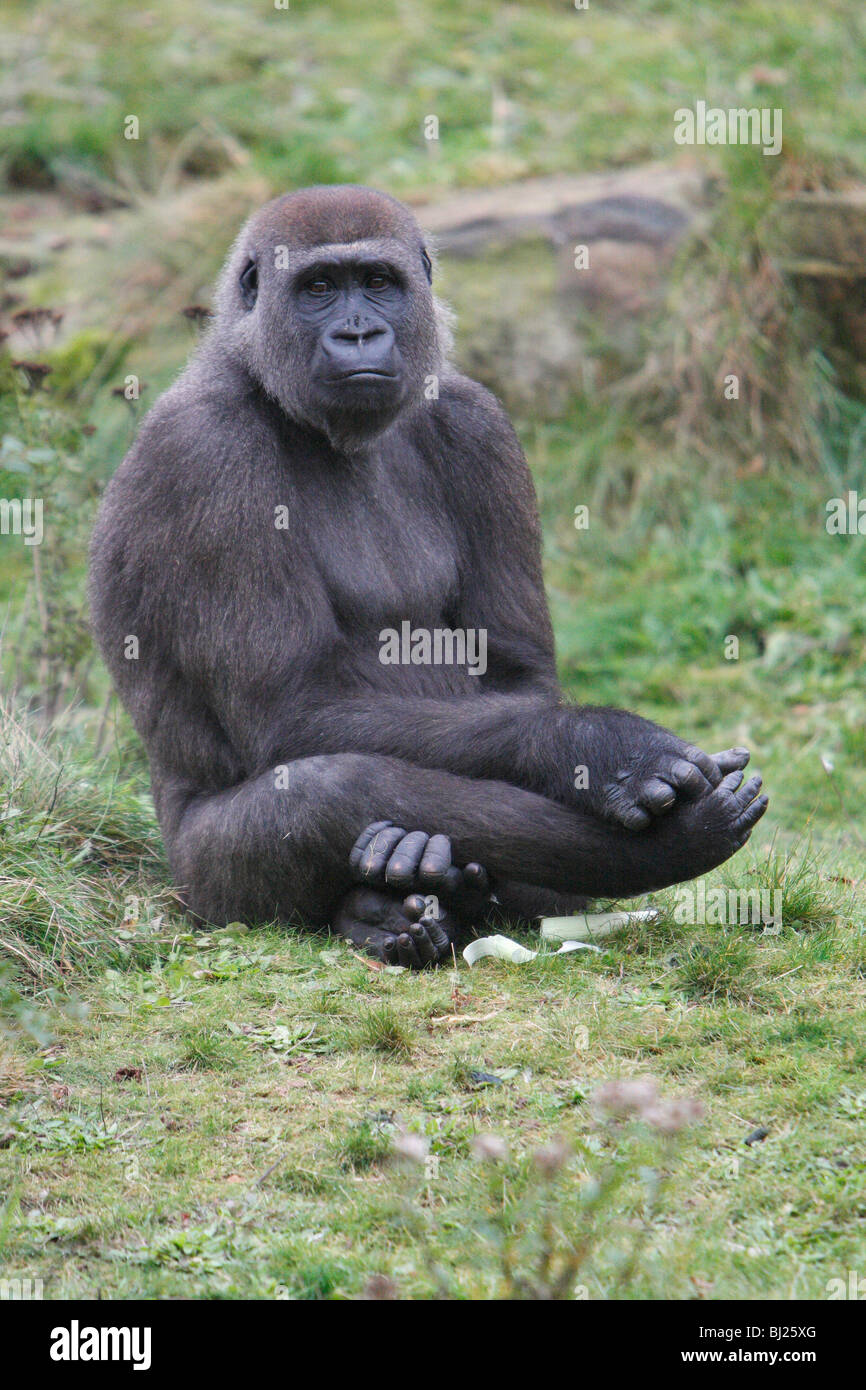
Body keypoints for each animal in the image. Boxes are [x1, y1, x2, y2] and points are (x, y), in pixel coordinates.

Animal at [88, 182, 767, 967]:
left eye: (377, 283)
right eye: (318, 288)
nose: (358, 335)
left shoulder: (480, 423)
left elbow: (517, 676)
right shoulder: (204, 452)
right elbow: (293, 708)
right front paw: (599, 745)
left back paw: (413, 891)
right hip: (202, 888)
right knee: (329, 789)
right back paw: (667, 847)